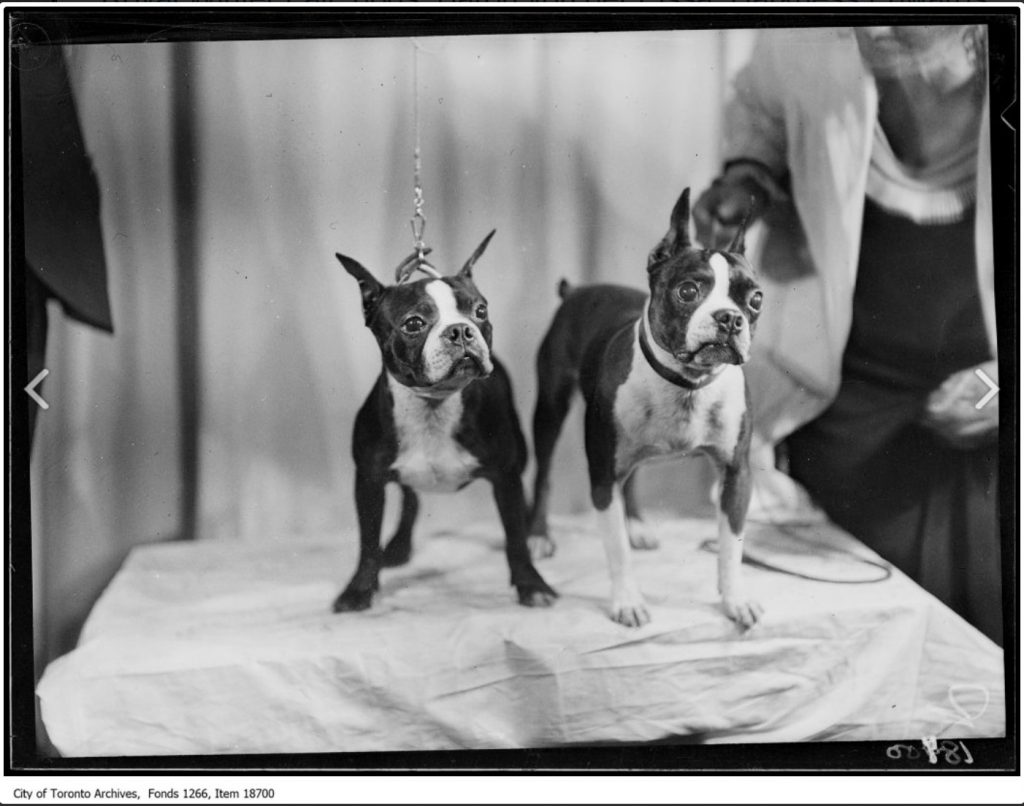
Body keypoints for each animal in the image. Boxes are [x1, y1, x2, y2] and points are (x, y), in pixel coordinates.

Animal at [333, 236, 561, 614]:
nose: (460, 330)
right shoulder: (368, 481)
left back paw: (535, 531)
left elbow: (514, 537)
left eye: (480, 311)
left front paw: (531, 584)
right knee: (410, 496)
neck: (434, 405)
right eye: (413, 324)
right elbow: (367, 541)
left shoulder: (505, 476)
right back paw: (398, 546)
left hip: (522, 453)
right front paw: (359, 590)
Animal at [528, 189, 761, 630]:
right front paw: (628, 602)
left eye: (755, 299)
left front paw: (735, 599)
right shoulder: (602, 475)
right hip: (549, 409)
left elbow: (732, 546)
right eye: (688, 291)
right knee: (544, 473)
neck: (687, 385)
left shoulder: (736, 474)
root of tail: (576, 291)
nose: (730, 318)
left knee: (632, 479)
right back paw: (537, 535)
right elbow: (616, 549)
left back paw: (636, 524)